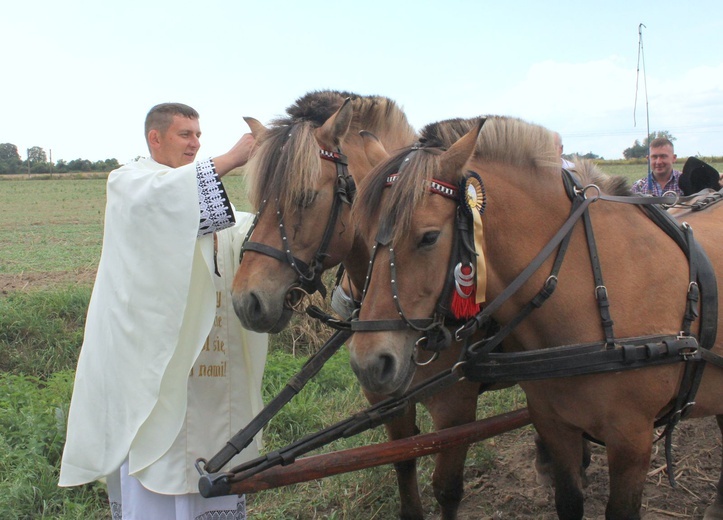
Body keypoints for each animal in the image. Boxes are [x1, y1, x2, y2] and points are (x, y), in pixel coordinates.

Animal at [232, 91, 492, 516]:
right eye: (258, 198)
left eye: (306, 197)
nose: (245, 301)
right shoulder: (384, 396)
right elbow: (403, 461)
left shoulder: (456, 407)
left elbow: (448, 488)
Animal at [346, 116, 723, 516]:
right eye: (364, 235)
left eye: (429, 237)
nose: (369, 362)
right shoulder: (554, 424)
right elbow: (568, 500)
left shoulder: (632, 439)